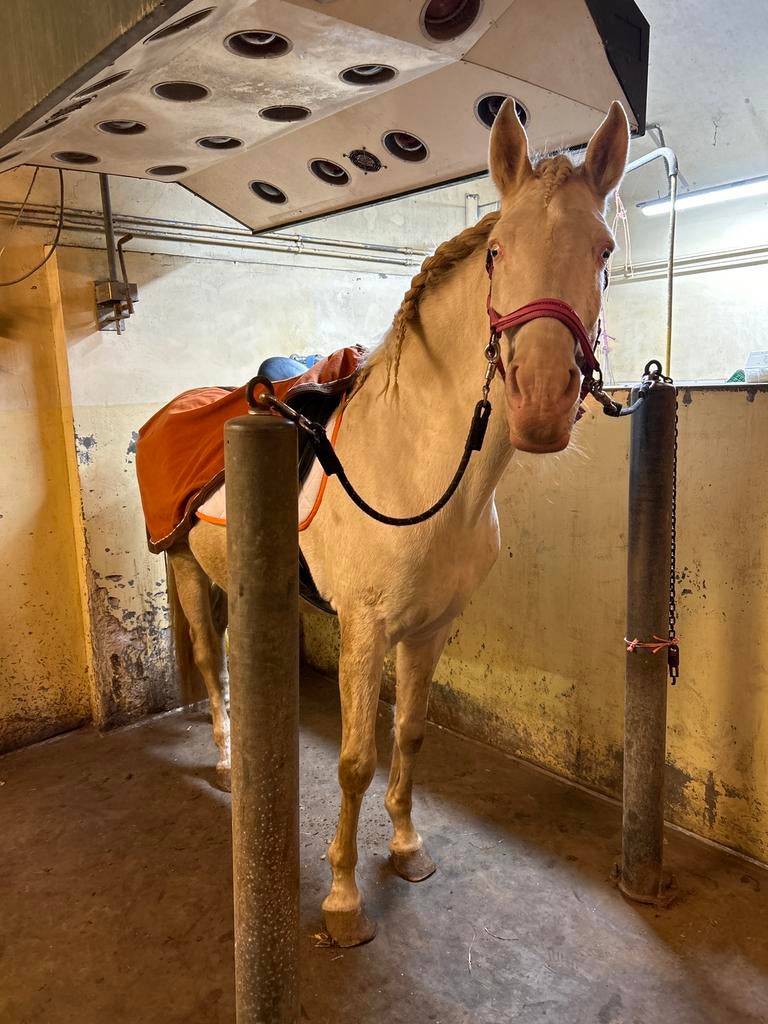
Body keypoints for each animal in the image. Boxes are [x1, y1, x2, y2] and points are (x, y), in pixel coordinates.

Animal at [164, 98, 630, 947]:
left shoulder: (432, 627)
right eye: (498, 252)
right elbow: (355, 758)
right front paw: (344, 900)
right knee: (211, 664)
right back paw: (224, 761)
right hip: (182, 567)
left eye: (604, 249)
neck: (419, 470)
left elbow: (409, 733)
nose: (543, 404)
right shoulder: (365, 628)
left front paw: (408, 847)